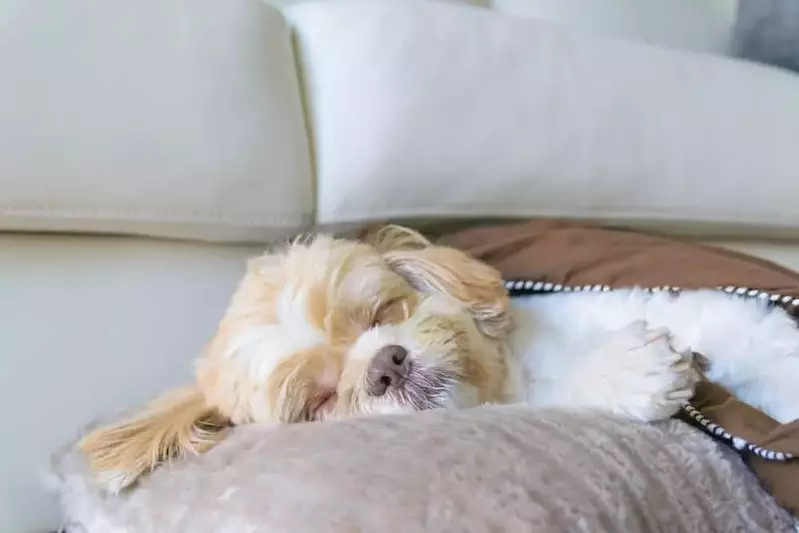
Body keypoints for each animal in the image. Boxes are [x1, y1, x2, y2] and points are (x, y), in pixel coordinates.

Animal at [79, 223, 799, 490]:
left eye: (381, 314)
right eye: (318, 400)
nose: (386, 364)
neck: (519, 370)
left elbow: (746, 328)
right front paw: (625, 371)